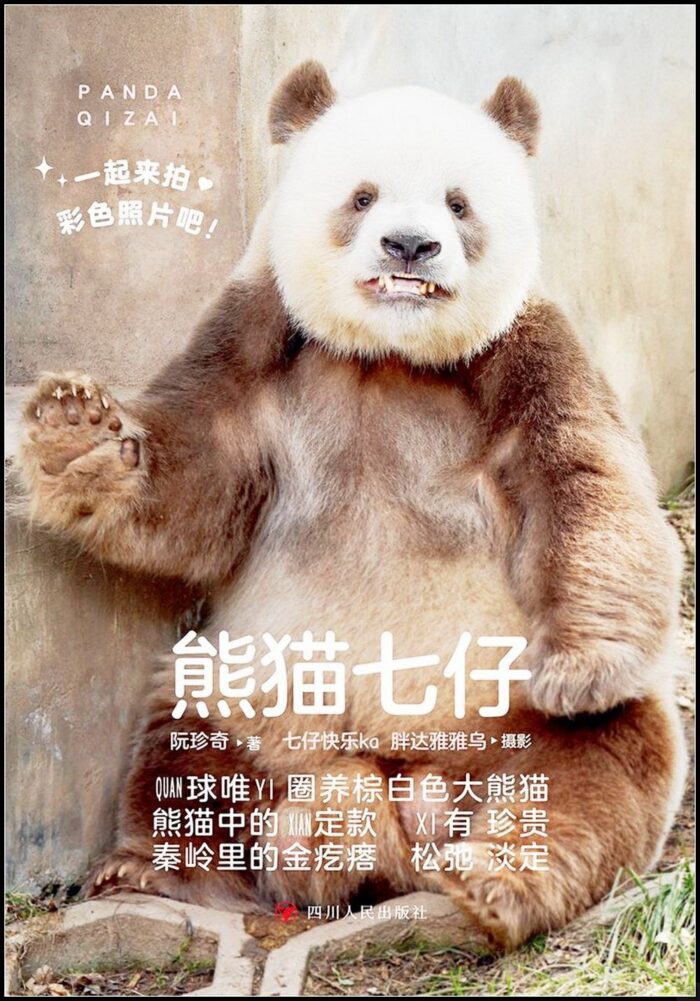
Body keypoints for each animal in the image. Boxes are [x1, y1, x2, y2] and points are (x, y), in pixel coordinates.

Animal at [18, 61, 686, 950]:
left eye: (458, 202)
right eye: (363, 196)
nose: (410, 245)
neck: (388, 355)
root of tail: (398, 811)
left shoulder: (527, 350)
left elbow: (584, 479)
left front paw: (579, 670)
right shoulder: (257, 336)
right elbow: (195, 481)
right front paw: (72, 427)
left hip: (503, 715)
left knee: (595, 769)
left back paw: (496, 879)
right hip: (253, 695)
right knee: (182, 749)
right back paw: (156, 871)